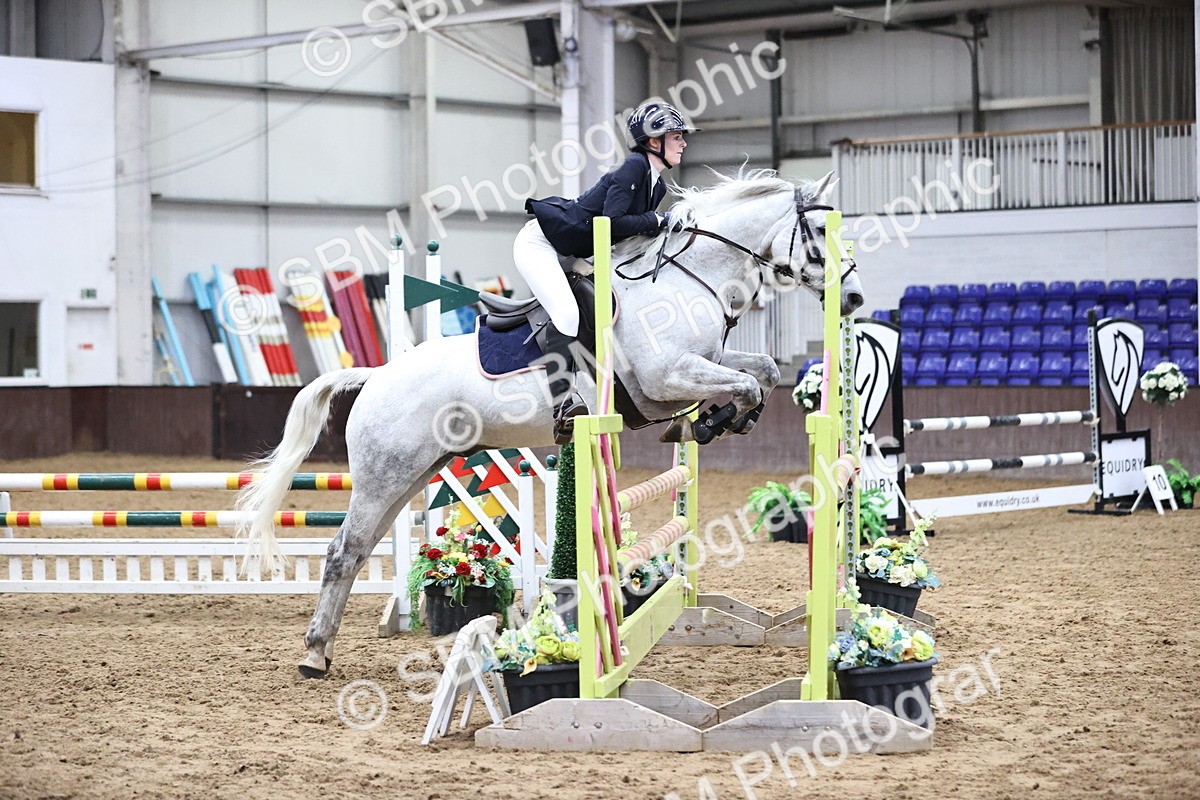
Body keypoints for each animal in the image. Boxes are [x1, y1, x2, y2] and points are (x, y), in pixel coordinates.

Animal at [236, 169, 864, 677]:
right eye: (820, 231)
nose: (854, 297)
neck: (689, 278)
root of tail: (375, 377)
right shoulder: (665, 379)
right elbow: (748, 384)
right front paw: (713, 422)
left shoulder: (703, 364)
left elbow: (759, 372)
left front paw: (715, 422)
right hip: (384, 474)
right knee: (343, 550)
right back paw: (312, 656)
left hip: (412, 474)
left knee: (360, 547)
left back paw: (324, 647)